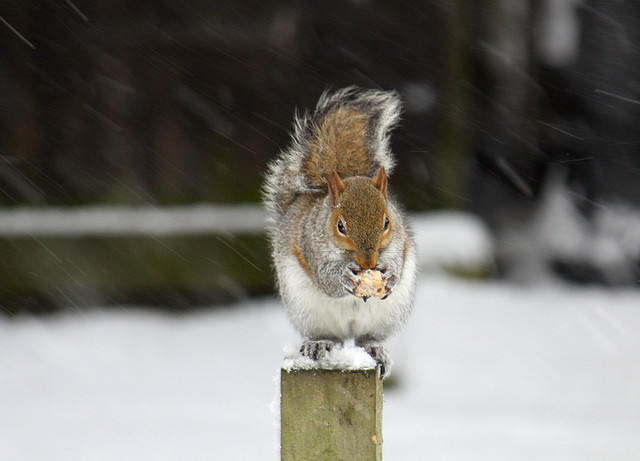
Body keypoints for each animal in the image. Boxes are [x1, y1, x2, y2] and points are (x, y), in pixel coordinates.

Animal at [262, 87, 418, 378]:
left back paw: (375, 349)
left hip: (387, 316)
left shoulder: (399, 240)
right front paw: (344, 276)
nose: (368, 262)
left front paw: (390, 274)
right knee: (327, 336)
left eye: (387, 222)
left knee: (368, 338)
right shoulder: (311, 244)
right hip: (307, 311)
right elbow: (326, 276)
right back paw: (319, 344)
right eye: (341, 226)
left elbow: (396, 261)